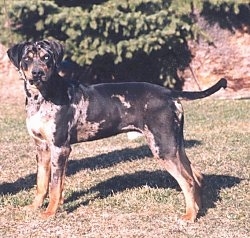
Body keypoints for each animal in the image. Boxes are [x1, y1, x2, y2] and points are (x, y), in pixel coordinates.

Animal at [7, 40, 227, 221]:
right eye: (27, 58)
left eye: (46, 57)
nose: (37, 73)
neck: (41, 97)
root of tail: (169, 92)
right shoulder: (42, 148)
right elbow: (41, 183)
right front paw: (34, 207)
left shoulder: (60, 147)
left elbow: (54, 186)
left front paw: (50, 212)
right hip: (174, 145)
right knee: (197, 176)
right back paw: (197, 210)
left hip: (163, 148)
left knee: (188, 181)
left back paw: (189, 216)